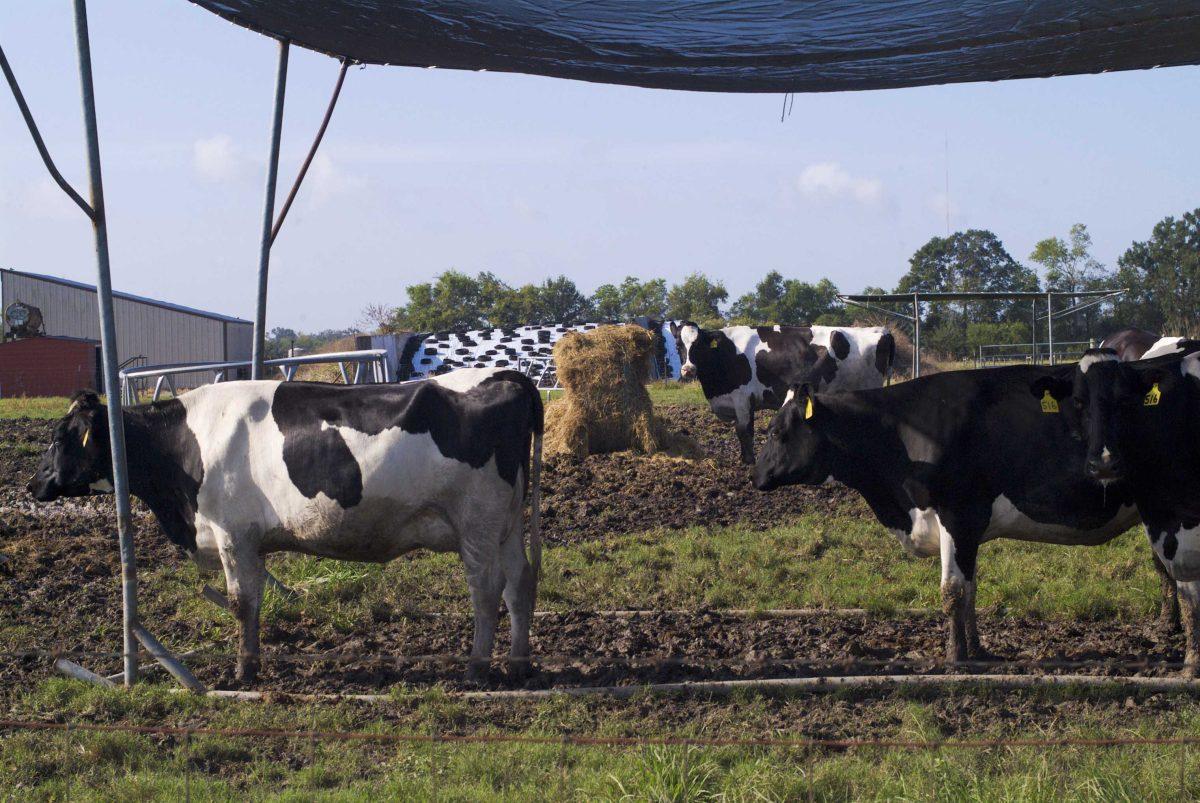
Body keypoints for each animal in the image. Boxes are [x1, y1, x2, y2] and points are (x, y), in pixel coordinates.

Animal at [29, 369, 544, 681]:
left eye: (59, 437)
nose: (32, 483)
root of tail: (503, 377)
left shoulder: (232, 532)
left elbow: (239, 603)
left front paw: (242, 672)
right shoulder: (249, 540)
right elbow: (253, 603)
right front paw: (252, 663)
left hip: (477, 521)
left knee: (486, 589)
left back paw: (476, 668)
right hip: (506, 524)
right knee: (519, 582)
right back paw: (518, 663)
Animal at [672, 321, 897, 463]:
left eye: (698, 344)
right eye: (678, 344)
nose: (688, 369)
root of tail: (881, 330)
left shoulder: (742, 398)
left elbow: (744, 430)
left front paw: (748, 461)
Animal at [748, 364, 1142, 662]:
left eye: (775, 431)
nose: (754, 475)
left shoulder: (958, 514)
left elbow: (952, 591)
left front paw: (955, 657)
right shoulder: (968, 529)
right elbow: (970, 590)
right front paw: (978, 651)